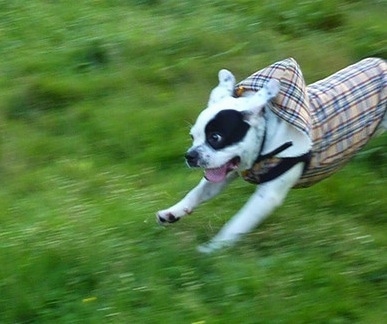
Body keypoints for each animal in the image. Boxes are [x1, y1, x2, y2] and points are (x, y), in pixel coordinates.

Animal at [156, 58, 386, 256]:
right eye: (192, 136)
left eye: (216, 137)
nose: (190, 155)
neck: (266, 138)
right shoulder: (222, 175)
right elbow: (197, 193)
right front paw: (173, 212)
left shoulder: (266, 197)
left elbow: (237, 223)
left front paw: (213, 249)